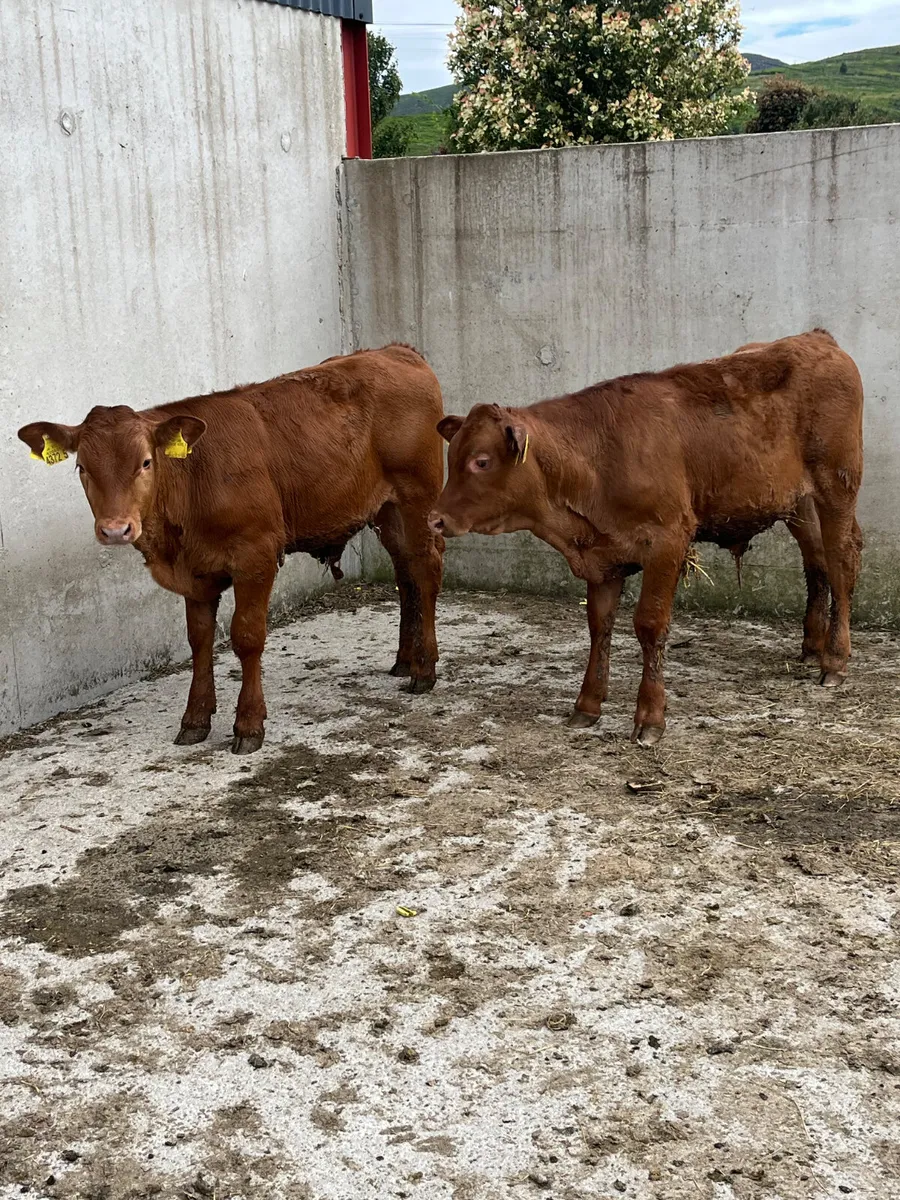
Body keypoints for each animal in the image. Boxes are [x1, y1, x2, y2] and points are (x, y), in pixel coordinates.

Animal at [19, 344, 445, 754]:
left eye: (145, 462)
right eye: (82, 469)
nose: (115, 529)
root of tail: (395, 350)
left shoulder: (256, 555)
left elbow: (247, 636)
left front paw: (249, 724)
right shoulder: (195, 572)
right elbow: (199, 639)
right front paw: (194, 718)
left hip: (417, 497)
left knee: (426, 569)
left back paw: (424, 670)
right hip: (386, 511)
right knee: (405, 573)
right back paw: (404, 661)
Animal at [428, 330, 863, 746]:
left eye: (481, 461)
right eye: (451, 458)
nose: (434, 518)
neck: (597, 460)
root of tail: (817, 339)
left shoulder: (668, 542)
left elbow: (649, 625)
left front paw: (650, 717)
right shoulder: (603, 557)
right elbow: (599, 625)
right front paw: (587, 705)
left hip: (837, 485)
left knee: (842, 558)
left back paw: (835, 660)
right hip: (796, 501)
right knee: (816, 559)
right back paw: (812, 647)